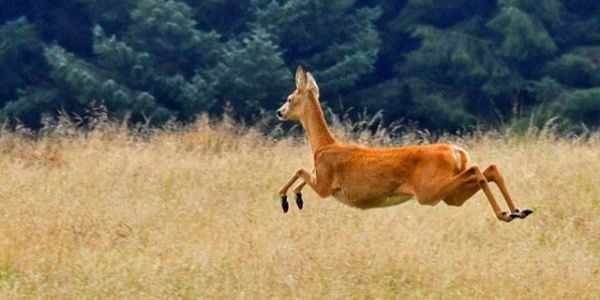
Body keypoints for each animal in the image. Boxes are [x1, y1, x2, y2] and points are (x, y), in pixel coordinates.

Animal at [274, 66, 532, 223]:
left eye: (289, 98)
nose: (279, 112)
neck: (322, 146)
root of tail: (457, 153)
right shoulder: (321, 178)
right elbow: (303, 172)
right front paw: (296, 198)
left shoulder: (325, 185)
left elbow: (300, 170)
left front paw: (287, 199)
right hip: (450, 196)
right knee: (490, 169)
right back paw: (518, 211)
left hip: (429, 190)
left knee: (477, 170)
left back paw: (507, 213)